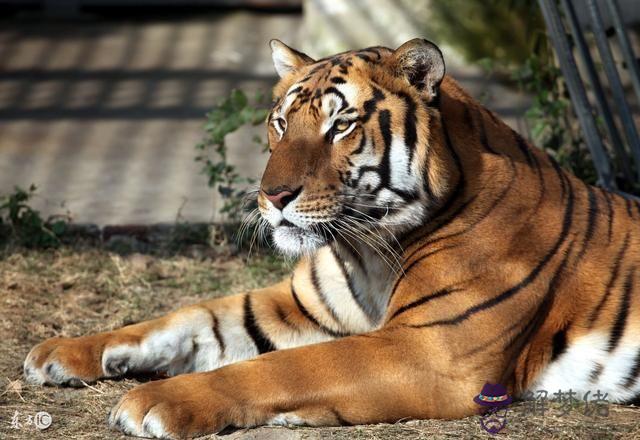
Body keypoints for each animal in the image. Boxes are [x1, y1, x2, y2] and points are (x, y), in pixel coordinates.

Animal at [22, 39, 640, 438]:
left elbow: (285, 368)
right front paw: (66, 351)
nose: (272, 196)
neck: (366, 248)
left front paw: (154, 401)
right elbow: (188, 317)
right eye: (280, 122)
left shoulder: (431, 350)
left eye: (340, 125)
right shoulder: (296, 305)